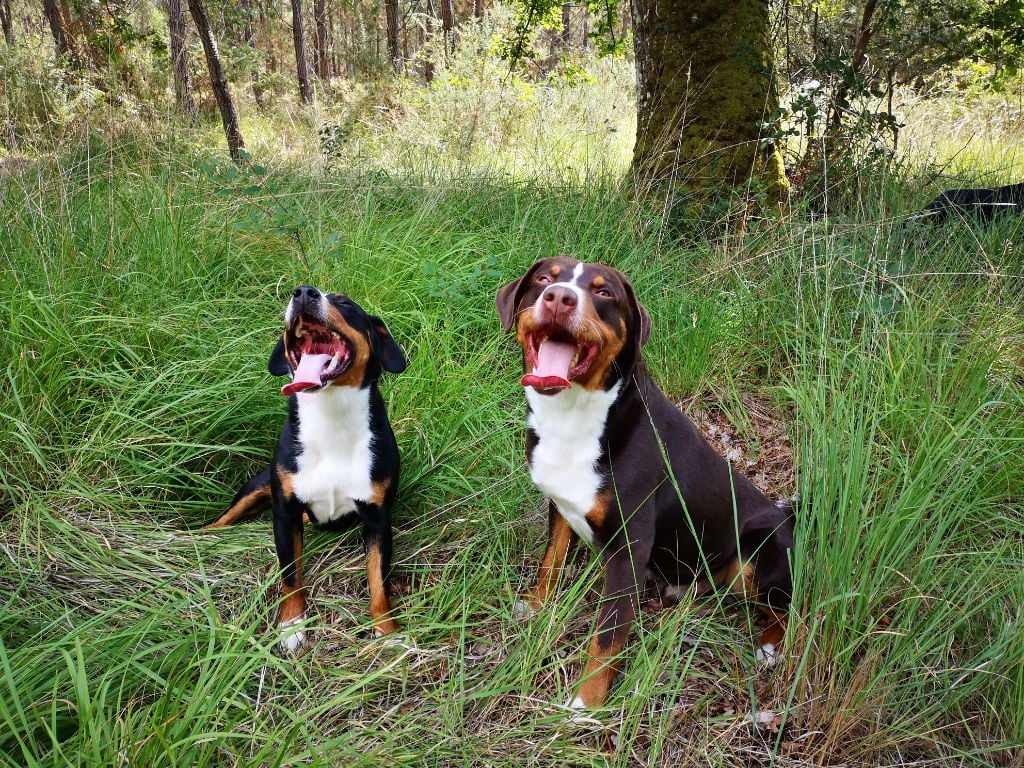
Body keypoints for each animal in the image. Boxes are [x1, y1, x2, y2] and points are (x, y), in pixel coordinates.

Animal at [206, 286, 407, 651]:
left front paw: (386, 630)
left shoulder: (377, 518)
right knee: (222, 520)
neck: (331, 417)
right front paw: (291, 624)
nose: (303, 293)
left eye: (344, 303)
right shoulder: (285, 514)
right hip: (256, 488)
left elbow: (378, 581)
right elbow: (290, 575)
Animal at [499, 259, 794, 708]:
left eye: (604, 293)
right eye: (545, 278)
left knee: (792, 611)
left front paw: (585, 705)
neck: (574, 417)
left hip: (760, 548)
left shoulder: (629, 549)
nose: (560, 298)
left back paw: (769, 647)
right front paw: (534, 606)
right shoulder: (559, 506)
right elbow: (550, 562)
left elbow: (607, 637)